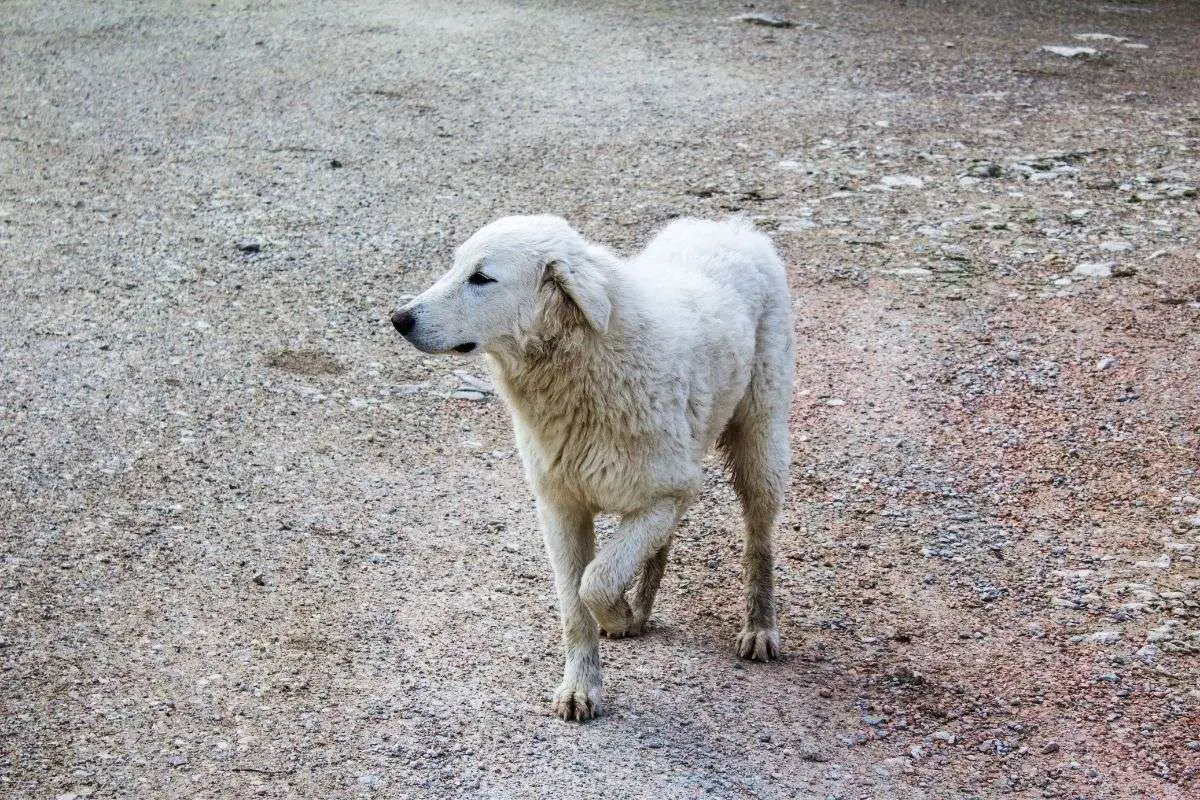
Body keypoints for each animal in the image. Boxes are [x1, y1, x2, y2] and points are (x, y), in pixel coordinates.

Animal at [388, 215, 792, 724]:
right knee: (663, 543)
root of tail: (729, 225)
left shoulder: (666, 493)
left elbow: (595, 583)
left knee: (758, 540)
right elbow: (573, 601)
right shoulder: (562, 507)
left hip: (759, 441)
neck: (583, 365)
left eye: (481, 278)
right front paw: (581, 686)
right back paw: (641, 610)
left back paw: (759, 628)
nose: (399, 318)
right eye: (455, 266)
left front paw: (613, 615)